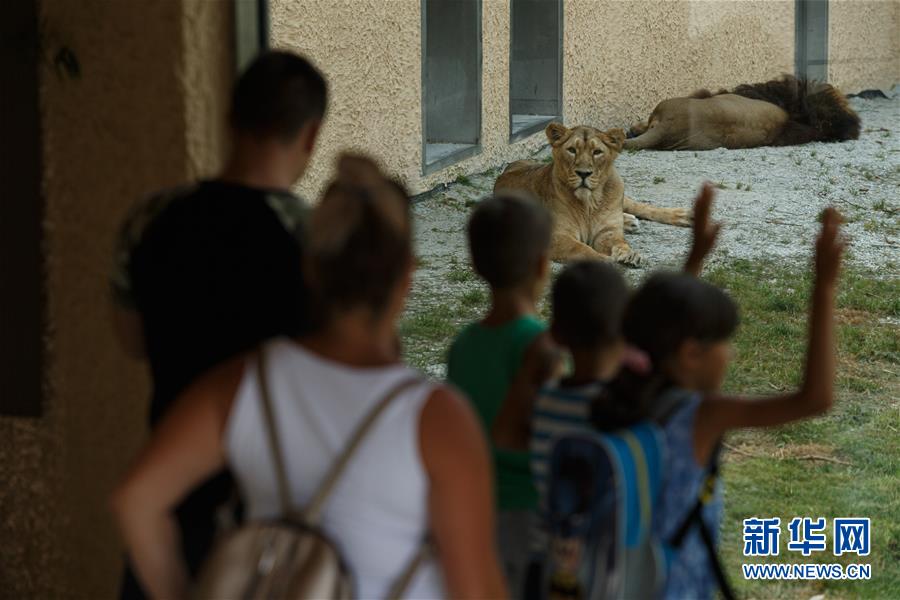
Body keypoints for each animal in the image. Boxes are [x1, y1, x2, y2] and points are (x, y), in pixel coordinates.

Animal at [492, 123, 688, 266]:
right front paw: (605, 260)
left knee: (639, 206)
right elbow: (581, 250)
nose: (584, 173)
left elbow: (619, 242)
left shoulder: (607, 232)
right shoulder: (556, 236)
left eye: (597, 152)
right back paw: (630, 222)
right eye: (572, 150)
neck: (589, 202)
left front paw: (630, 254)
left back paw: (683, 216)